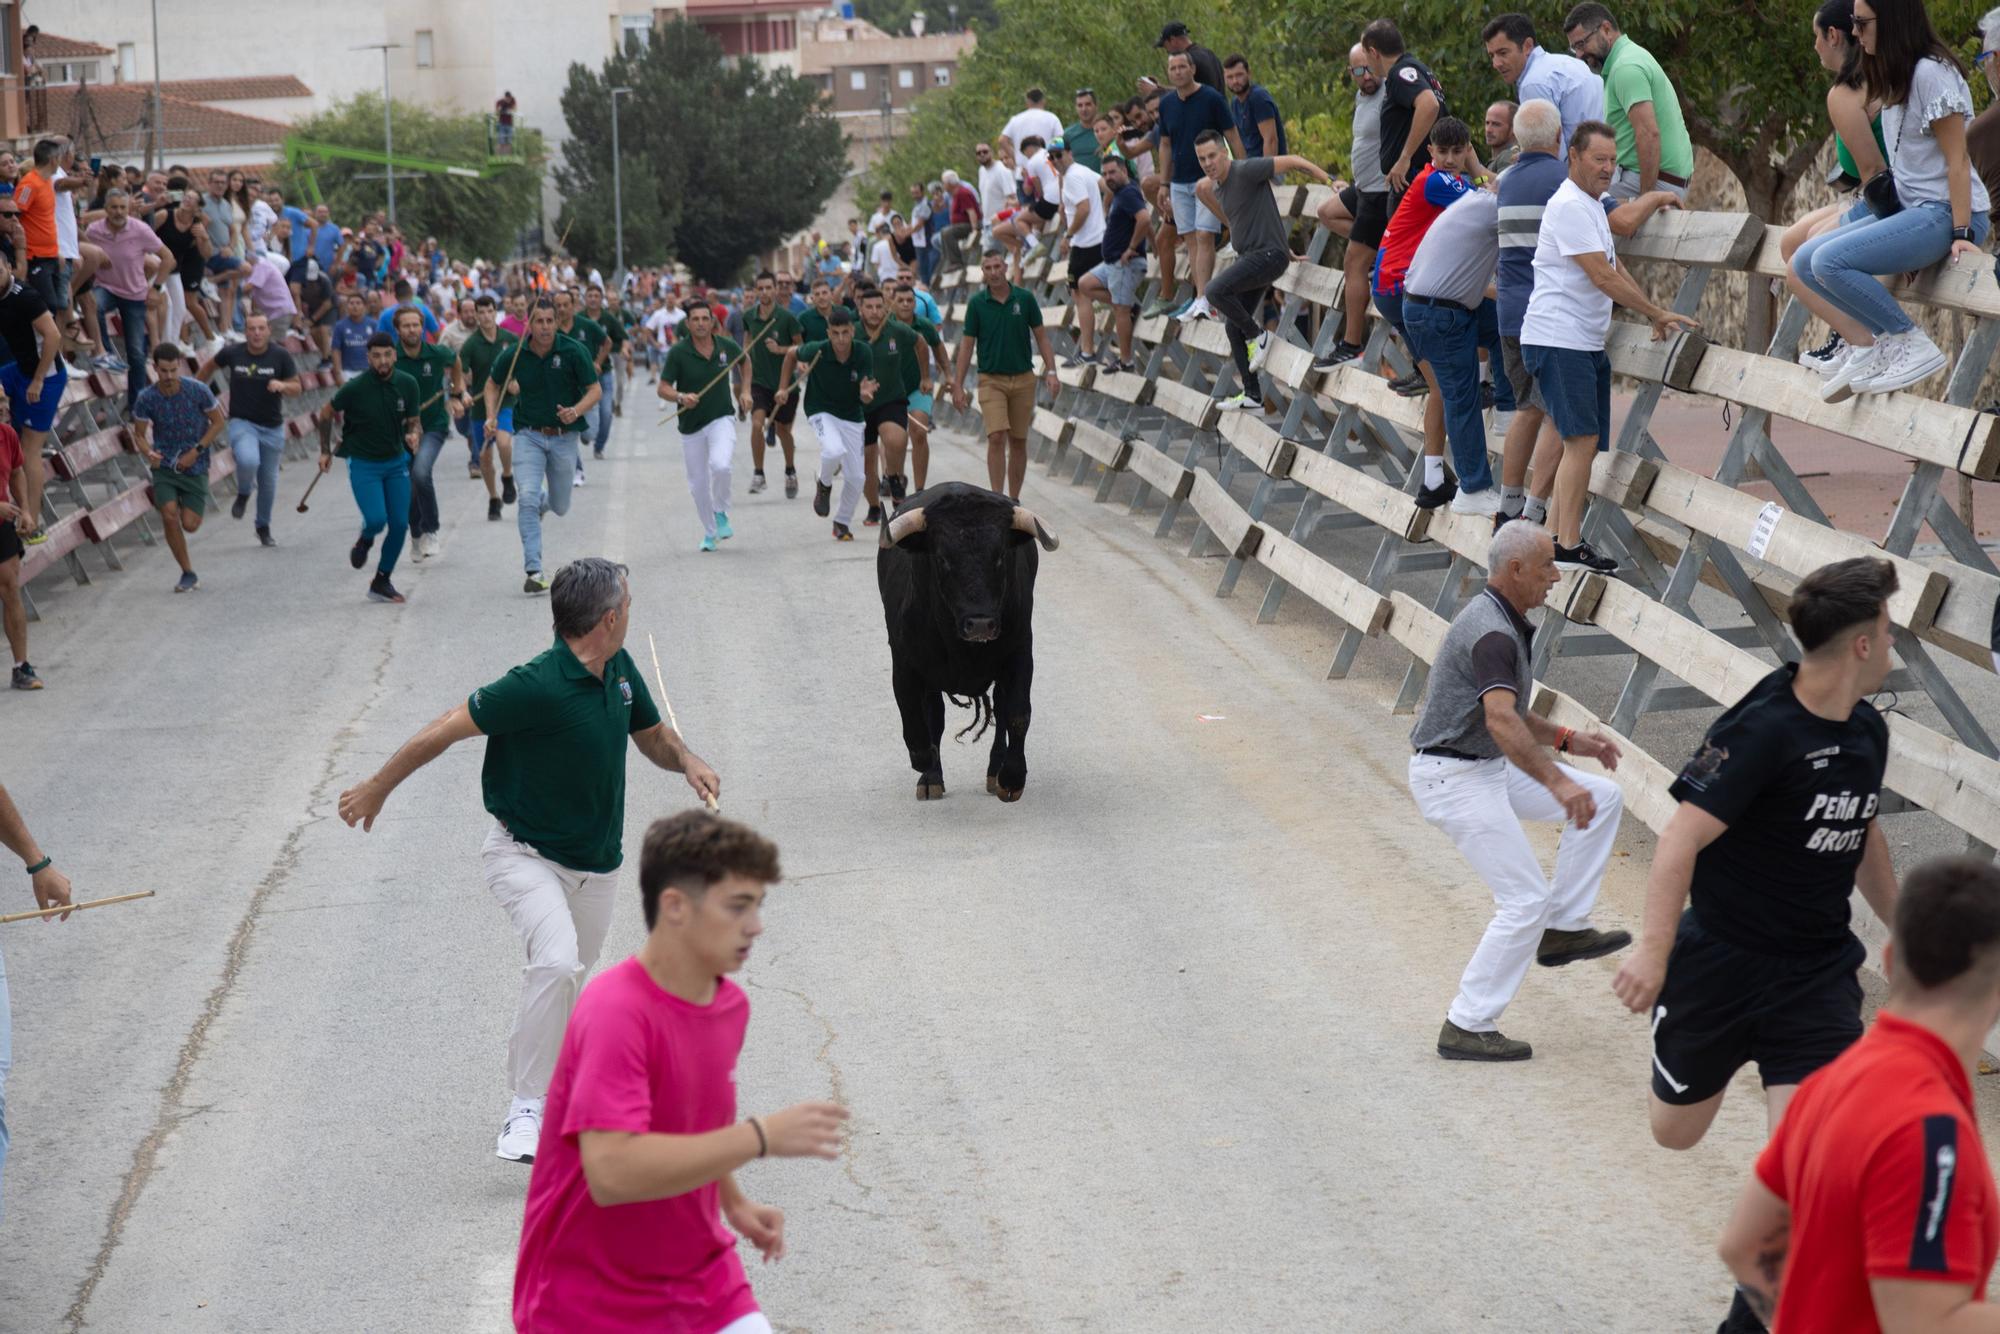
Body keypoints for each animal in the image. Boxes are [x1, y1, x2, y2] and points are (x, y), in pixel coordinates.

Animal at [880, 482, 1064, 804]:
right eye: (942, 559)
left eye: (1000, 556)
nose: (980, 624)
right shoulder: (904, 663)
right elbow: (915, 719)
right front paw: (925, 764)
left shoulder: (1020, 654)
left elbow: (1018, 714)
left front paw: (1012, 778)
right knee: (934, 716)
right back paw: (931, 778)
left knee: (1000, 710)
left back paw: (995, 772)